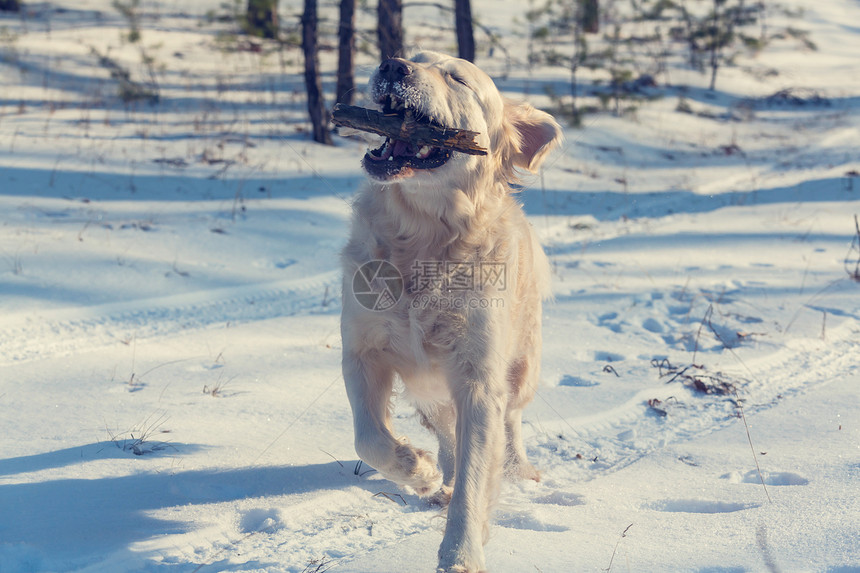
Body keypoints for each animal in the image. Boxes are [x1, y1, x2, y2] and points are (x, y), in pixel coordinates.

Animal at [342, 51, 564, 568]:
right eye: (414, 55)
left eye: (457, 78)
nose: (392, 65)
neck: (423, 235)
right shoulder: (362, 350)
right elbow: (369, 436)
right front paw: (416, 469)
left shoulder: (478, 379)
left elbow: (474, 476)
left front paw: (462, 552)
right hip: (429, 386)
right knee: (442, 426)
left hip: (521, 366)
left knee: (510, 421)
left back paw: (519, 469)